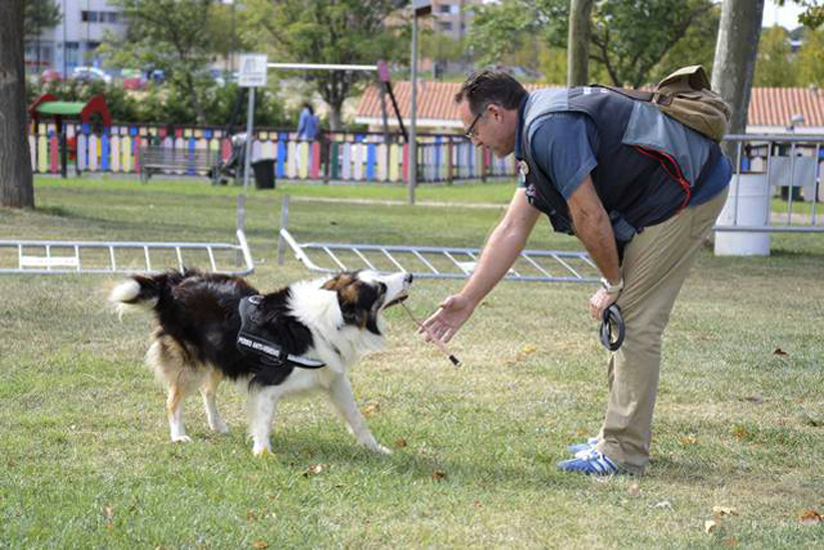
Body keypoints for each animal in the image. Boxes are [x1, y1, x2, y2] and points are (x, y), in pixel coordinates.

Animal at [109, 270, 412, 458]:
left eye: (380, 276)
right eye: (381, 288)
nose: (410, 276)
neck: (331, 314)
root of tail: (176, 281)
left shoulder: (334, 379)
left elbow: (357, 418)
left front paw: (375, 448)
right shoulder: (268, 384)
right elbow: (264, 420)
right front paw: (263, 453)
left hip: (221, 353)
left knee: (208, 391)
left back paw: (216, 424)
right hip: (192, 361)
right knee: (173, 401)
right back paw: (178, 435)